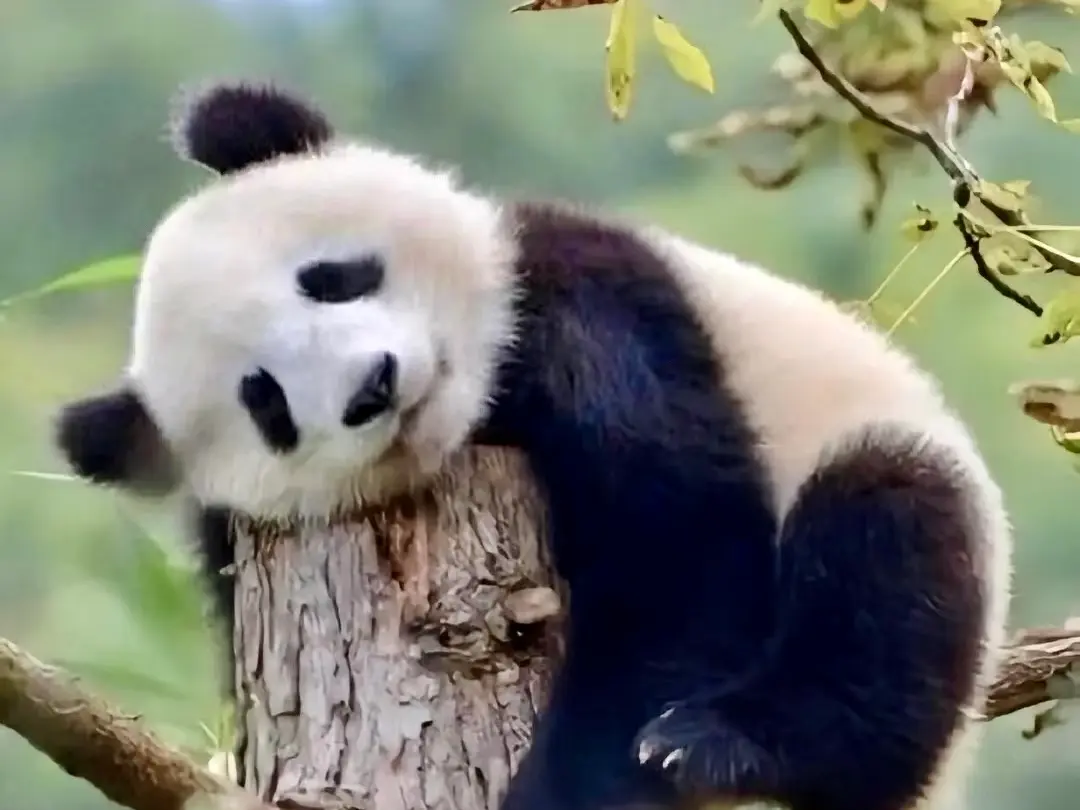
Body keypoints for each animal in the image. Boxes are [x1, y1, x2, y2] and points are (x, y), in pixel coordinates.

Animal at [54, 81, 1011, 810]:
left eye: (331, 278)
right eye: (268, 402)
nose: (372, 386)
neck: (482, 408)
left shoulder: (581, 298)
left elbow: (678, 545)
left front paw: (581, 781)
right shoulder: (228, 531)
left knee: (884, 557)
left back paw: (719, 742)